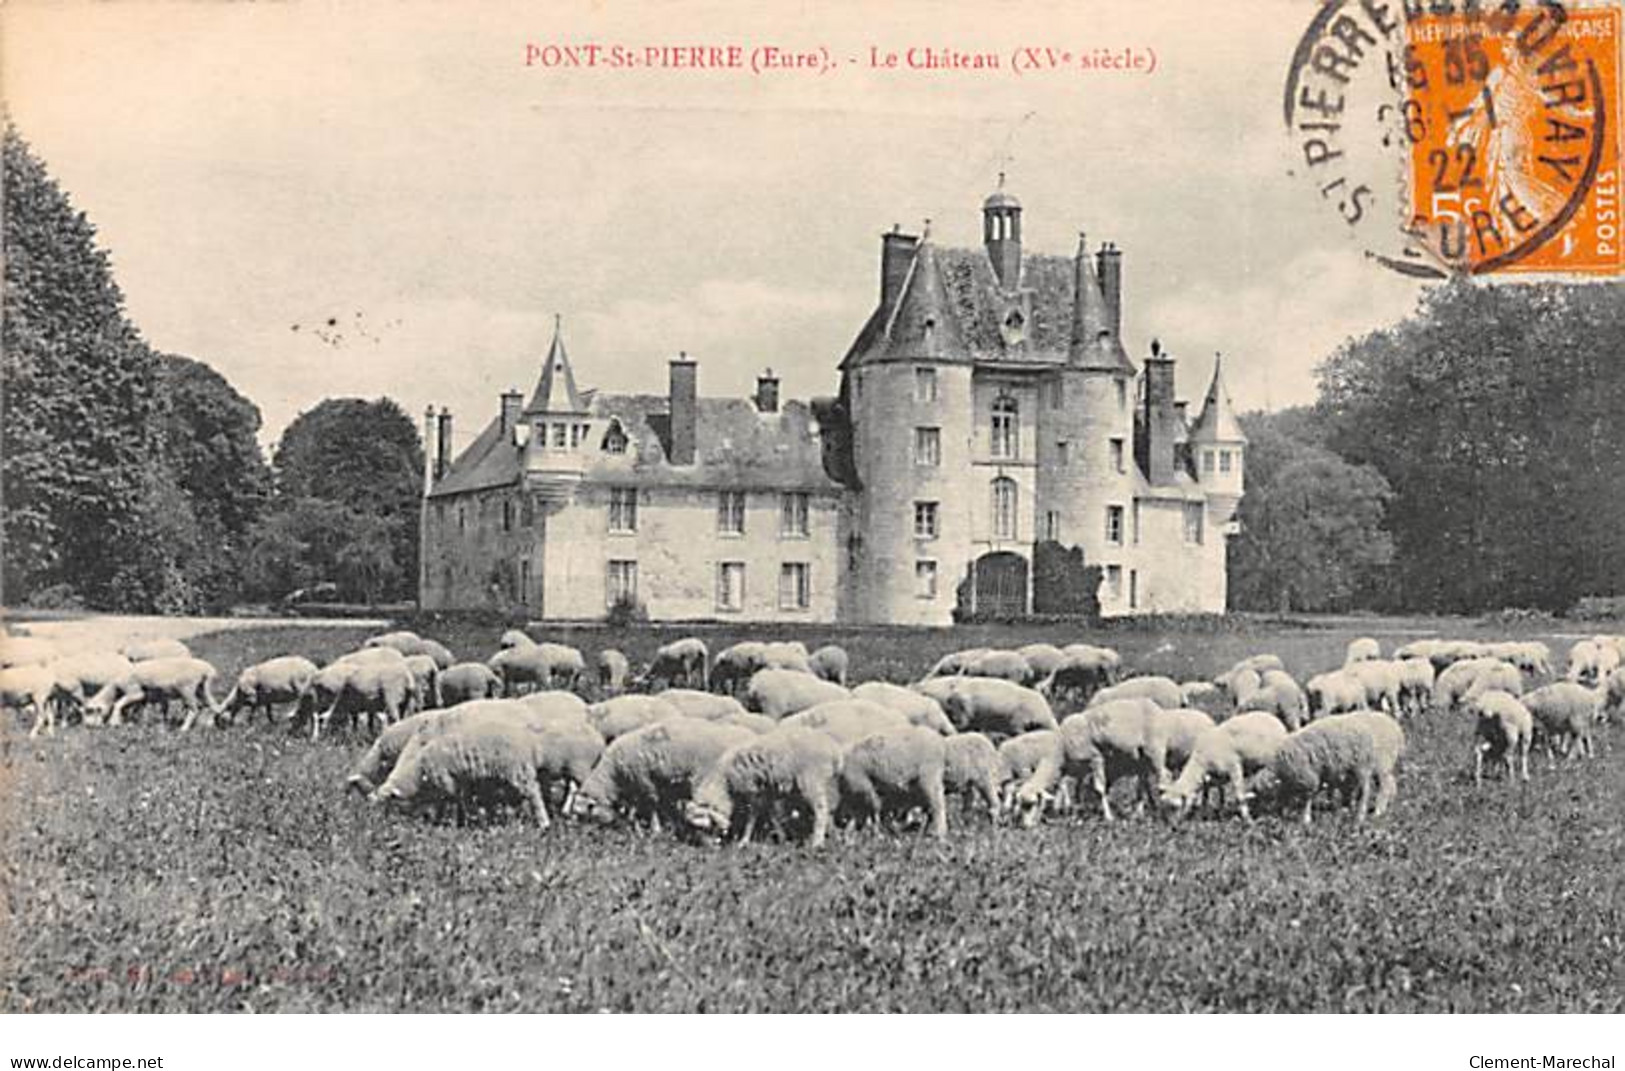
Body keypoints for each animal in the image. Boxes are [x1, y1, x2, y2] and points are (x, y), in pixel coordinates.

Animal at [84, 656, 222, 734]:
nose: (88, 726)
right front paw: (140, 723)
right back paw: (210, 725)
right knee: (214, 706)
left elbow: (118, 704)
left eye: (90, 711)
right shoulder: (143, 698)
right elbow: (140, 710)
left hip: (186, 689)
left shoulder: (135, 692)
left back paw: (184, 728)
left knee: (195, 708)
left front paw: (114, 722)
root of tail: (207, 669)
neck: (115, 688)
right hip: (202, 689)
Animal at [572, 715, 754, 832]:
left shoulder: (644, 780)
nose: (583, 833)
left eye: (585, 816)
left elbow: (652, 803)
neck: (613, 774)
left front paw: (656, 828)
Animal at [682, 728, 845, 845]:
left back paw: (817, 842)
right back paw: (835, 837)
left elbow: (753, 816)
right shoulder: (768, 791)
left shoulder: (753, 791)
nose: (708, 847)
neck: (725, 783)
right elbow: (773, 815)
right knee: (830, 810)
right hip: (829, 782)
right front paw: (782, 838)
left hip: (811, 779)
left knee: (821, 810)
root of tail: (834, 751)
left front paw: (744, 841)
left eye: (706, 827)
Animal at [1261, 715, 1404, 825]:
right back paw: (1384, 806)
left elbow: (1307, 798)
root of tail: (1396, 729)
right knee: (1389, 783)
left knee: (1371, 790)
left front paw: (1305, 818)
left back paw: (1368, 813)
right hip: (1381, 766)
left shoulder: (1307, 777)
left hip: (1366, 765)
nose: (1272, 815)